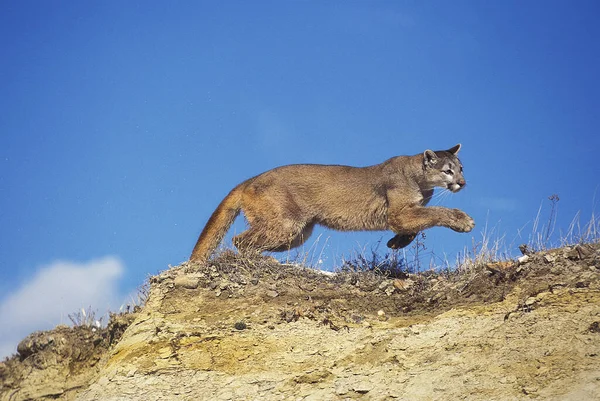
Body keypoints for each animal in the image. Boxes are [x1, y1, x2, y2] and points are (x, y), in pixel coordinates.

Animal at [191, 144, 474, 262]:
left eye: (461, 168)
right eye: (448, 171)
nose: (462, 183)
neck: (420, 181)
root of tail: (251, 179)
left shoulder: (408, 213)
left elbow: (419, 223)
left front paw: (396, 242)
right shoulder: (398, 213)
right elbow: (436, 212)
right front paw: (463, 221)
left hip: (298, 233)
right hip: (285, 224)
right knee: (239, 241)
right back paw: (261, 262)